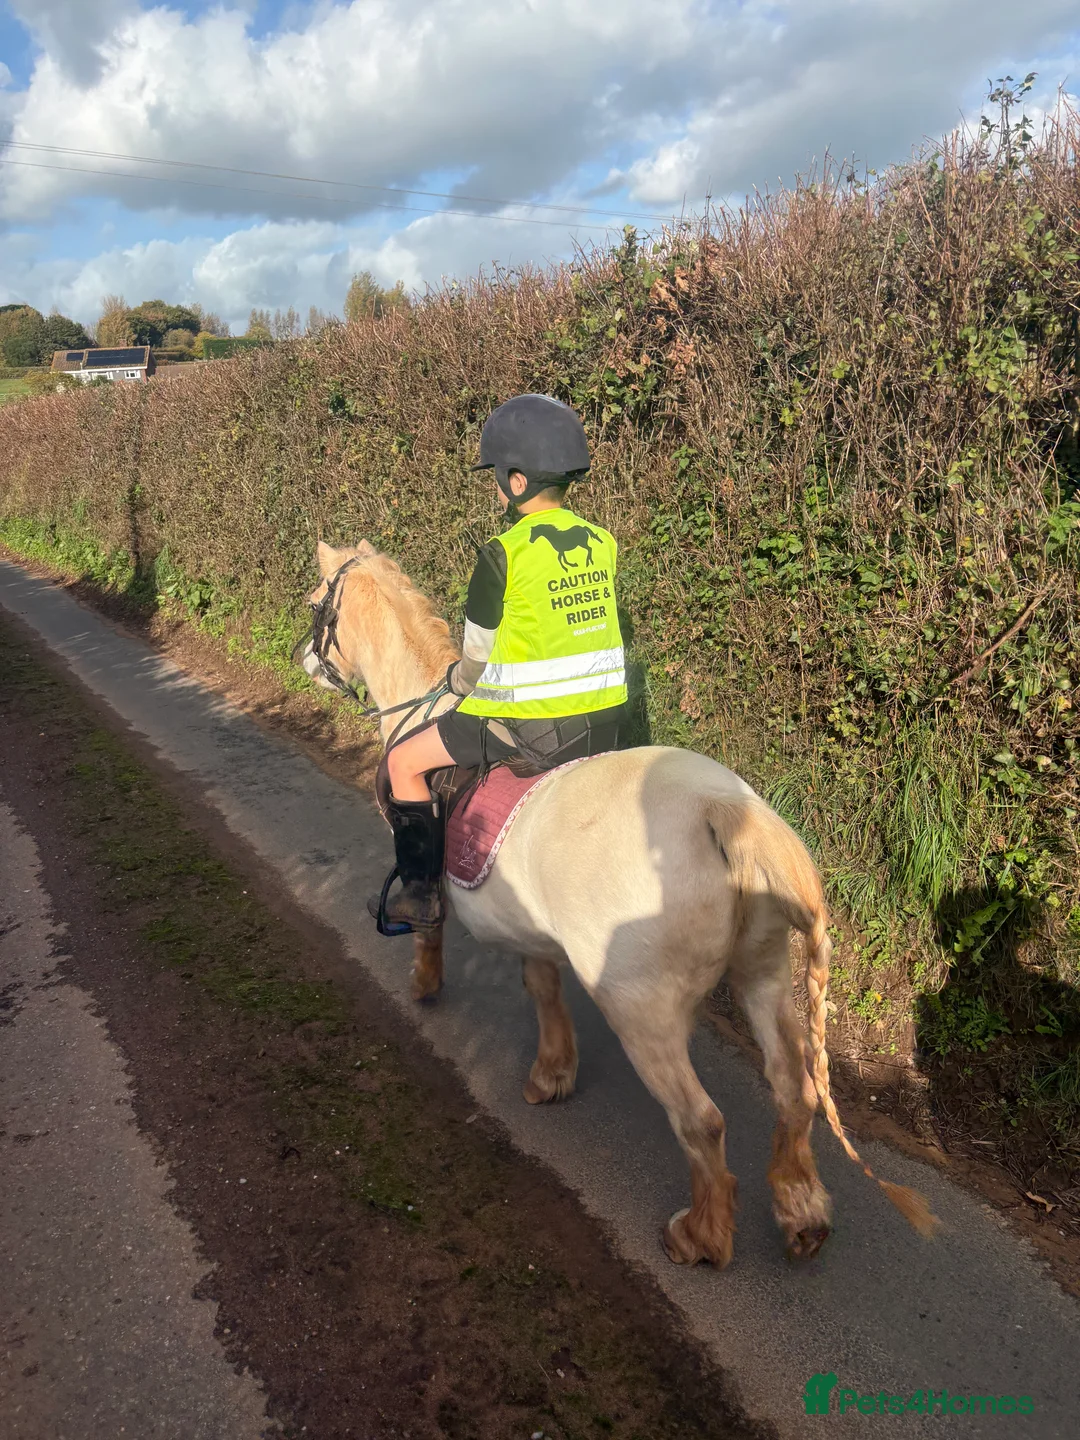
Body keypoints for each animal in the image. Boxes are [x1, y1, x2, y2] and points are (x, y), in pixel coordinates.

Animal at [300, 538, 938, 1266]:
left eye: (317, 601)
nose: (305, 660)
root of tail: (728, 814)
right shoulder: (534, 931)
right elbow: (542, 987)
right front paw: (552, 1073)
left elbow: (426, 917)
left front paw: (425, 986)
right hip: (765, 972)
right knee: (794, 1090)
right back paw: (801, 1212)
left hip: (642, 1010)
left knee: (702, 1122)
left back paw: (700, 1236)